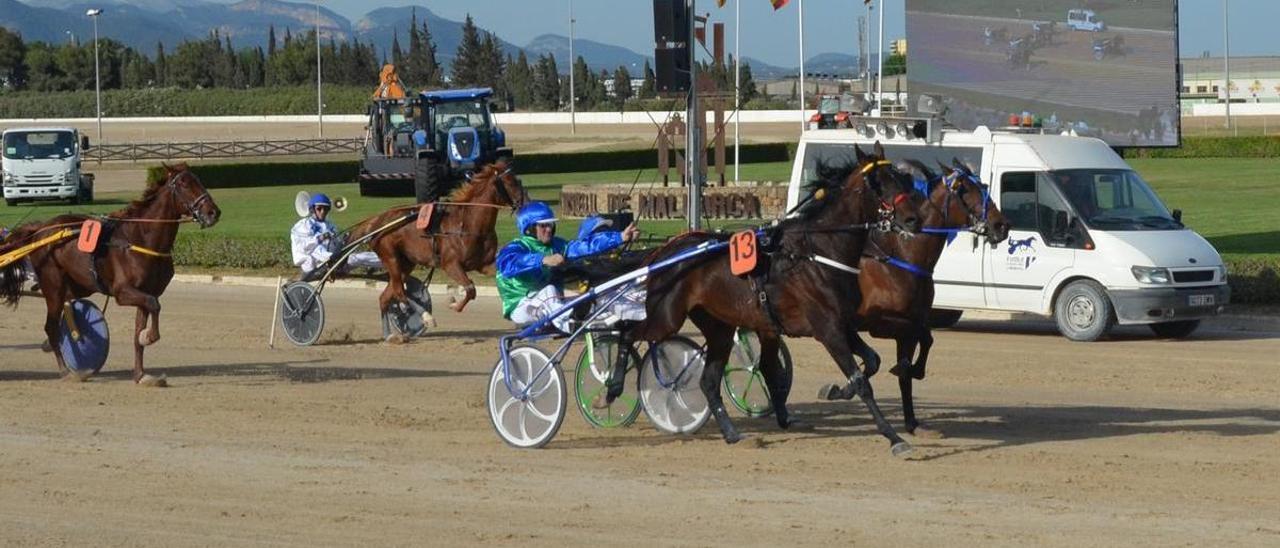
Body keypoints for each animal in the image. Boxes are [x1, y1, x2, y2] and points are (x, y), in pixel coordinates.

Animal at [0, 162, 221, 384]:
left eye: (198, 180)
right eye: (184, 184)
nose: (214, 212)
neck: (141, 239)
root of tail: (39, 229)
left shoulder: (146, 292)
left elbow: (139, 328)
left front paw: (140, 374)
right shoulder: (123, 292)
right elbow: (154, 306)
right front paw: (149, 337)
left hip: (78, 285)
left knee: (67, 306)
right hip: (53, 285)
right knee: (51, 326)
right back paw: (65, 371)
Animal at [345, 159, 524, 332]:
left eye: (518, 180)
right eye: (510, 182)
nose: (524, 202)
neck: (468, 225)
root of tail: (377, 221)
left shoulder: (484, 264)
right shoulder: (450, 264)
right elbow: (470, 289)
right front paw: (453, 303)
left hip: (405, 264)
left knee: (386, 296)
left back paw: (391, 335)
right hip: (391, 257)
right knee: (399, 292)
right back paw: (426, 317)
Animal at [627, 143, 921, 455]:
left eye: (902, 178)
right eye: (877, 183)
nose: (913, 220)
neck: (819, 252)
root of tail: (666, 250)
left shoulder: (842, 323)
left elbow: (873, 362)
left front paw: (839, 390)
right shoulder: (827, 329)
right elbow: (862, 381)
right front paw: (894, 437)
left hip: (720, 327)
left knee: (709, 381)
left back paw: (732, 433)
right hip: (665, 317)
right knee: (627, 335)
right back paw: (615, 382)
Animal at [824, 159, 1013, 437]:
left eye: (984, 186)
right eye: (965, 189)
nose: (1001, 225)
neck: (903, 258)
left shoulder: (911, 323)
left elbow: (920, 348)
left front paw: (911, 420)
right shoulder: (881, 323)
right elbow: (919, 338)